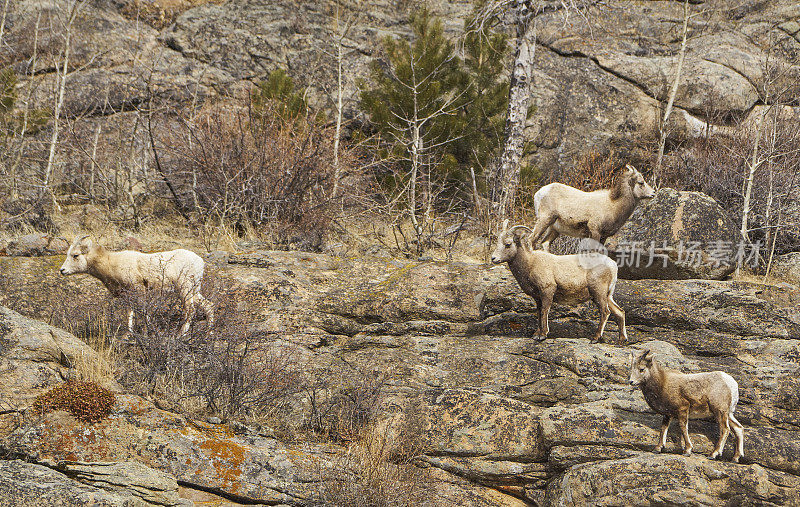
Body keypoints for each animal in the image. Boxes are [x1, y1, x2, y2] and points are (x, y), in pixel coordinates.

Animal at [59, 235, 214, 338]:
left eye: (75, 255)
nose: (62, 270)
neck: (111, 263)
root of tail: (200, 262)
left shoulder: (139, 290)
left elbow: (143, 311)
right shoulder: (128, 295)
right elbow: (130, 312)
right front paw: (128, 334)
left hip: (185, 289)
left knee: (190, 310)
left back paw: (180, 334)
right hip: (194, 291)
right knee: (208, 306)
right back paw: (209, 333)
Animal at [490, 220, 628, 344]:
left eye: (508, 244)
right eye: (498, 242)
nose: (493, 258)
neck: (530, 263)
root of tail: (612, 265)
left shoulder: (547, 290)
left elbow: (545, 310)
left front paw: (542, 335)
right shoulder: (538, 297)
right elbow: (539, 312)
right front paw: (536, 334)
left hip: (598, 292)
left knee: (605, 312)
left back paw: (595, 338)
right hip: (607, 296)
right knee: (620, 312)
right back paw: (622, 340)